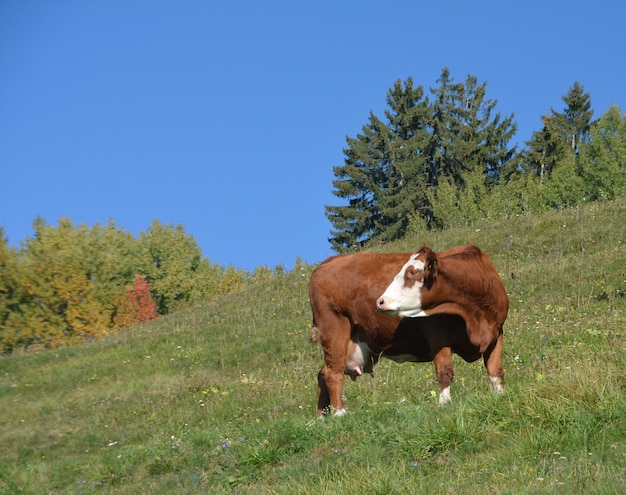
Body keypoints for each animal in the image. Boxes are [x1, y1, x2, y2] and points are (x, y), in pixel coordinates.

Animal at [308, 246, 508, 416]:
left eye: (412, 272)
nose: (380, 301)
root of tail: (328, 262)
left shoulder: (497, 333)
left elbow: (495, 370)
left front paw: (500, 395)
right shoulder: (437, 333)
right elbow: (445, 371)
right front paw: (444, 403)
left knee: (323, 373)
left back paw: (322, 418)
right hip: (334, 330)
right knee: (333, 373)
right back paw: (339, 413)